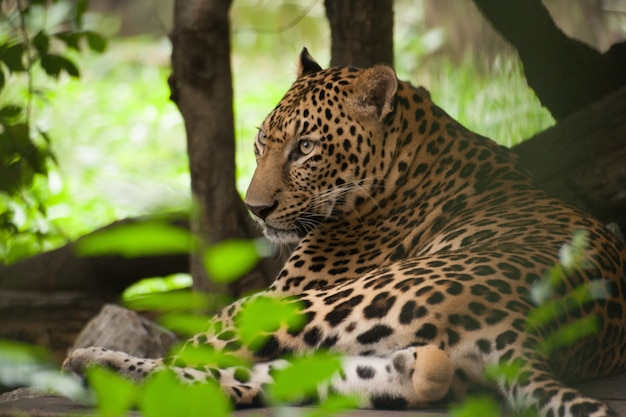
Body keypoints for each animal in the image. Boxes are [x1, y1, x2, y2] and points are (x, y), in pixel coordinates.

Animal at [64, 49, 624, 416]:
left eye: (306, 148)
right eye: (262, 143)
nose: (256, 210)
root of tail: (530, 327)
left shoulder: (284, 293)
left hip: (307, 304)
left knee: (197, 360)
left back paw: (93, 368)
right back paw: (95, 368)